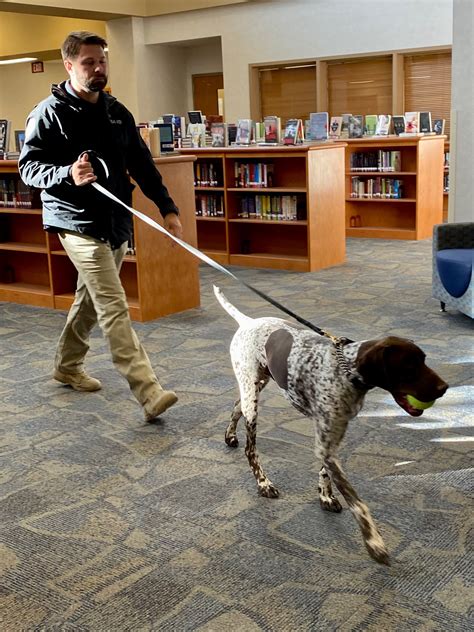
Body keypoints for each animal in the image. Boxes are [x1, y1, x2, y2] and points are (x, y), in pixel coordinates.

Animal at [215, 286, 448, 564]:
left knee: (236, 406)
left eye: (424, 360)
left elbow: (326, 472)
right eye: (409, 365)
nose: (445, 388)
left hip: (256, 385)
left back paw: (229, 435)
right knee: (251, 448)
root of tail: (248, 321)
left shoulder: (332, 438)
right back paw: (263, 483)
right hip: (252, 394)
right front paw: (374, 541)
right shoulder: (326, 444)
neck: (345, 371)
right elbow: (358, 503)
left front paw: (325, 495)